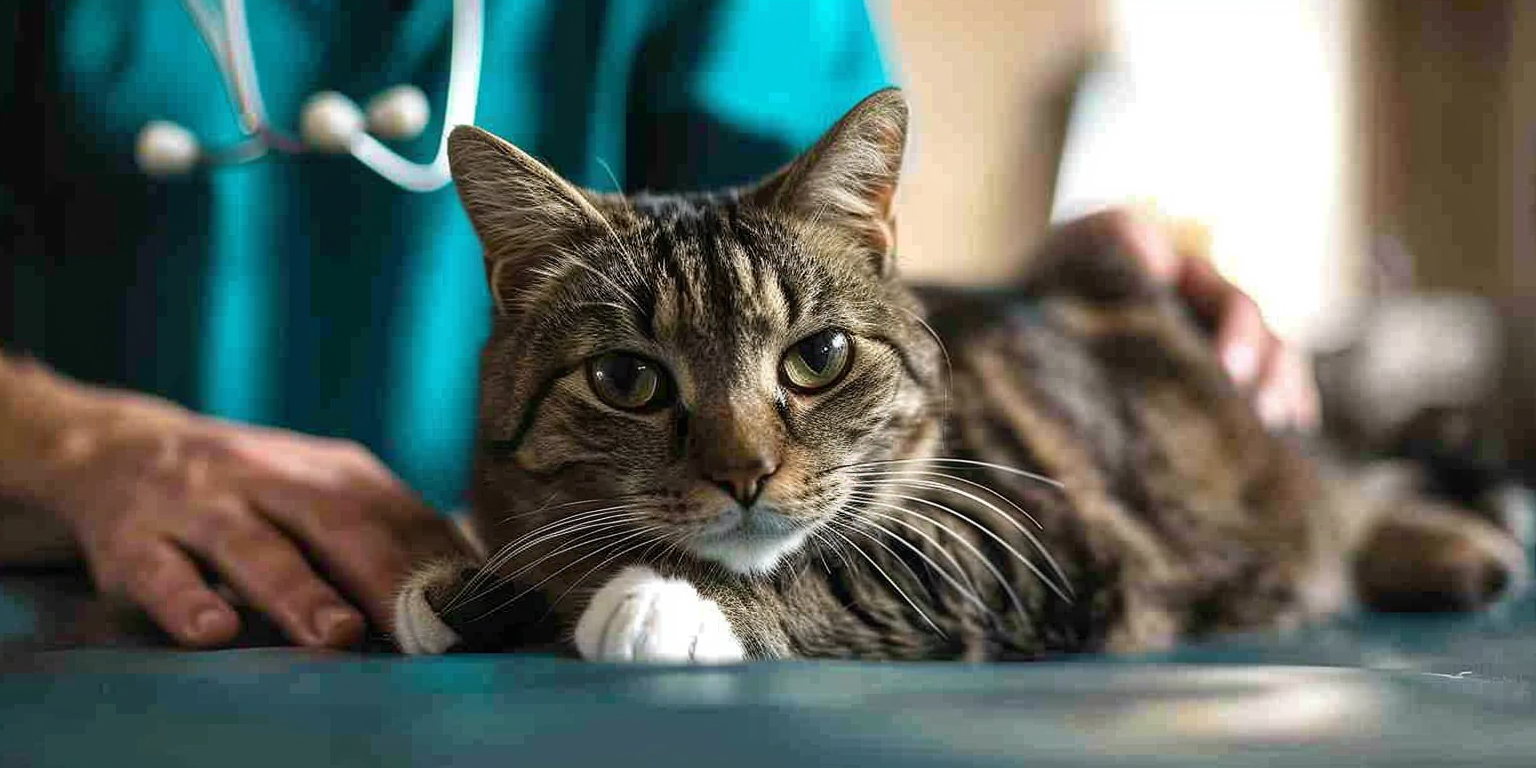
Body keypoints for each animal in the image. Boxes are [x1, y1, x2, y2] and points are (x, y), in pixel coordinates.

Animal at [393, 87, 1523, 663]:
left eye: (818, 359)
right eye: (628, 380)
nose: (745, 474)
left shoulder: (1039, 536)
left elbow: (836, 565)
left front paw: (659, 598)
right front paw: (470, 585)